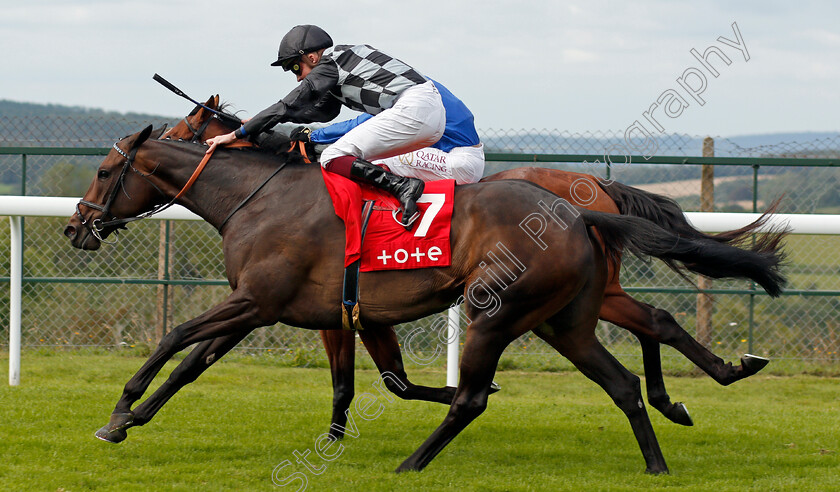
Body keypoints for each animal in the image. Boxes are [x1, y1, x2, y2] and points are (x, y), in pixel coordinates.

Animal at [64, 125, 788, 474]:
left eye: (102, 171)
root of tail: (582, 208)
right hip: (564, 320)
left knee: (475, 397)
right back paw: (663, 451)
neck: (260, 197)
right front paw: (132, 419)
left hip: (497, 310)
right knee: (628, 373)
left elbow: (175, 338)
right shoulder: (273, 307)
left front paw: (121, 408)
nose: (76, 226)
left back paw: (413, 461)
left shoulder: (262, 301)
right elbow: (195, 362)